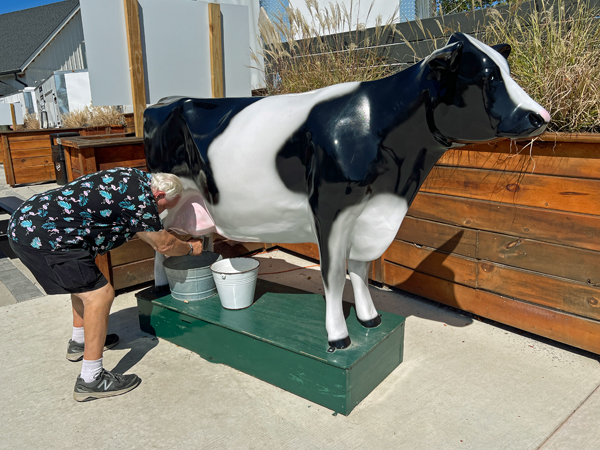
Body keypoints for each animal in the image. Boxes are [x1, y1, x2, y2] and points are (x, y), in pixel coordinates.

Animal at [144, 33, 548, 350]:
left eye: (507, 71)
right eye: (487, 77)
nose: (542, 116)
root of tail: (163, 101)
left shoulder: (372, 213)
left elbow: (361, 269)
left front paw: (369, 317)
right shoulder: (329, 206)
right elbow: (336, 273)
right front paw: (338, 335)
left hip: (194, 203)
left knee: (198, 240)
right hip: (162, 193)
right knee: (157, 246)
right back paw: (160, 289)